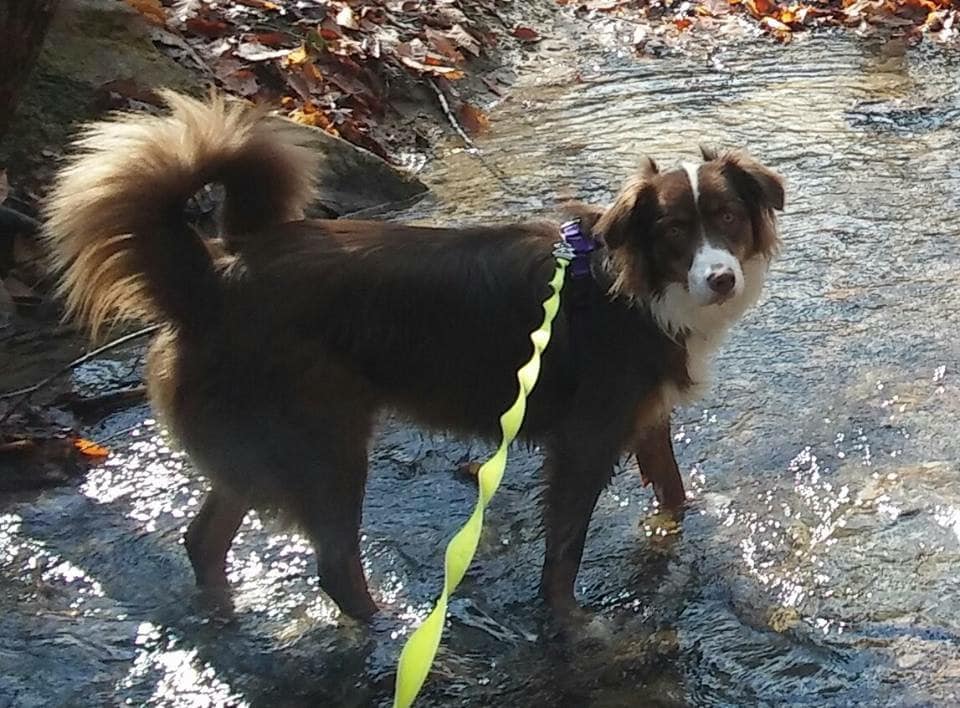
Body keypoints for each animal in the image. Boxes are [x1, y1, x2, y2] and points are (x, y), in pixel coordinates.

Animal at [41, 91, 784, 624]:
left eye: (728, 218)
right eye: (674, 231)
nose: (722, 280)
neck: (632, 287)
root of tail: (213, 278)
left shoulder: (646, 420)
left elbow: (674, 493)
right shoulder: (583, 443)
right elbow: (562, 557)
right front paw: (573, 625)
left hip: (265, 446)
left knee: (204, 538)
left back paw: (224, 617)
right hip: (327, 445)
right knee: (334, 567)